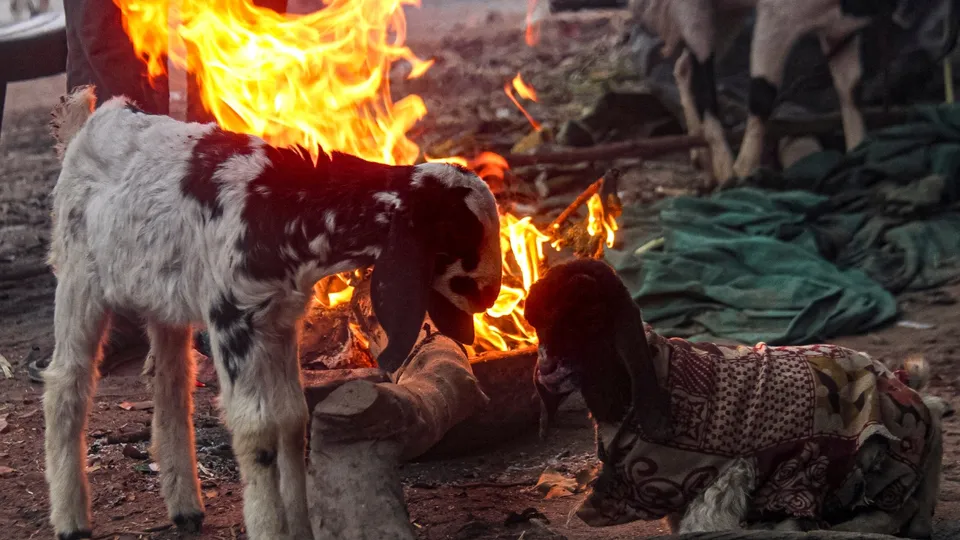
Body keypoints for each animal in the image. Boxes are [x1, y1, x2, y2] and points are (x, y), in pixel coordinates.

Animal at [44, 85, 502, 540]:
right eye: (459, 234)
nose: (489, 296)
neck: (284, 209)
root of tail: (93, 119)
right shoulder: (231, 321)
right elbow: (257, 428)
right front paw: (268, 526)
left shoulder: (279, 320)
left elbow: (291, 418)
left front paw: (297, 526)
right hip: (78, 278)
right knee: (66, 383)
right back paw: (70, 520)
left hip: (163, 297)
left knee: (170, 383)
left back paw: (185, 506)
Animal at [525, 258, 952, 536]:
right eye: (537, 322)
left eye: (590, 316)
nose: (547, 370)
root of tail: (911, 391)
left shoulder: (722, 482)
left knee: (890, 513)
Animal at [629, 0, 960, 186]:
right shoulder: (778, 17)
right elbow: (763, 93)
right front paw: (743, 172)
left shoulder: (840, 27)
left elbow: (851, 88)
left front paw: (858, 152)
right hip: (694, 8)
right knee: (701, 74)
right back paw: (723, 167)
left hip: (726, 13)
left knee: (685, 67)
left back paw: (703, 158)